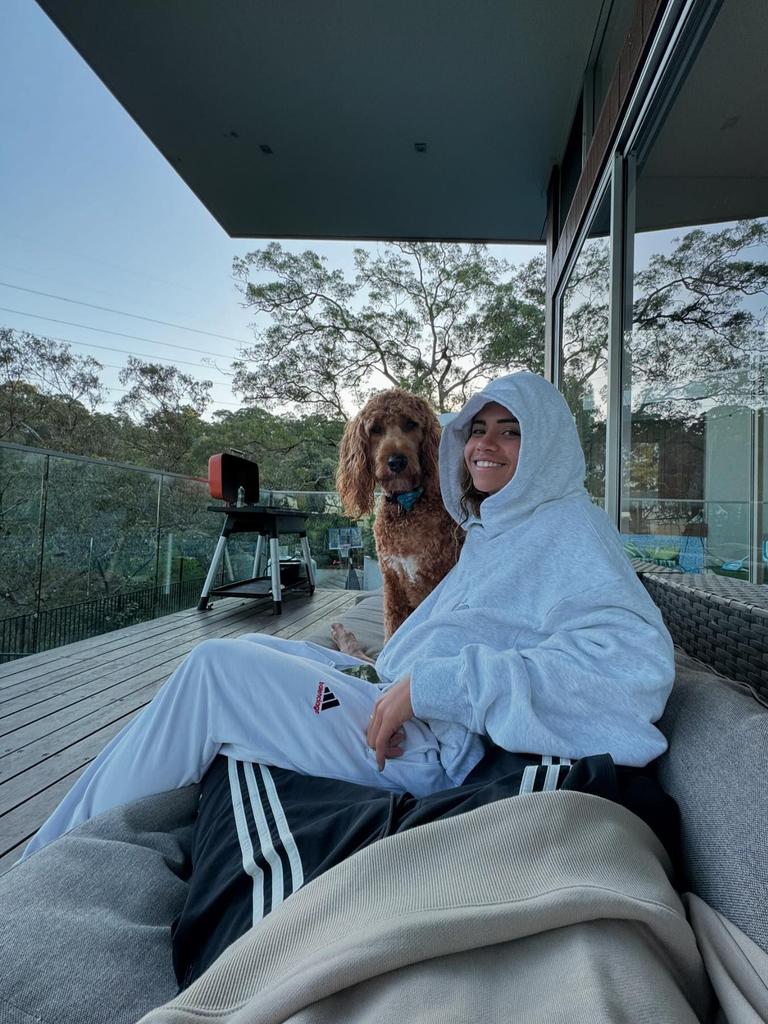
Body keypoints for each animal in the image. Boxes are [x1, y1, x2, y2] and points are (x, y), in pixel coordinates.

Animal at [335, 387, 462, 651]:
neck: (406, 506)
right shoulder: (392, 583)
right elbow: (392, 629)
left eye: (411, 424)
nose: (396, 461)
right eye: (375, 429)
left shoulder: (435, 579)